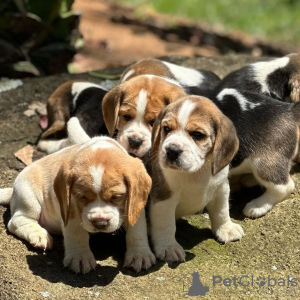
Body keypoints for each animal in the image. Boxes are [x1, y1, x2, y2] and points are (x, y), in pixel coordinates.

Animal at [0, 137, 154, 274]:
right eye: (82, 197)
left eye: (116, 197)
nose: (100, 223)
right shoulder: (70, 208)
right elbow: (76, 232)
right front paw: (80, 257)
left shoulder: (135, 205)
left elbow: (137, 229)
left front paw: (140, 254)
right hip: (28, 195)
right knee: (17, 221)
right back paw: (39, 235)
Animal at [148, 95, 244, 262]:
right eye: (166, 129)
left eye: (197, 135)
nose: (172, 150)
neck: (197, 171)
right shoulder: (163, 199)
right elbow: (166, 224)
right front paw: (168, 247)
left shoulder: (221, 188)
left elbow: (222, 210)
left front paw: (226, 228)